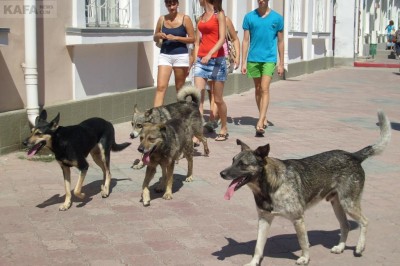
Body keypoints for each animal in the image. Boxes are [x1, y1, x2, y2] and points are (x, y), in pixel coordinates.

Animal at [219, 111, 390, 264]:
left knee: (365, 222)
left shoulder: (298, 219)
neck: (271, 186)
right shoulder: (264, 220)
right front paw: (253, 262)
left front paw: (305, 258)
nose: (221, 173)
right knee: (346, 225)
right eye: (233, 161)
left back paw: (360, 247)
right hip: (337, 205)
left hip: (349, 204)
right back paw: (340, 247)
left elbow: (303, 243)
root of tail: (354, 155)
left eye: (242, 164)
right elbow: (258, 247)